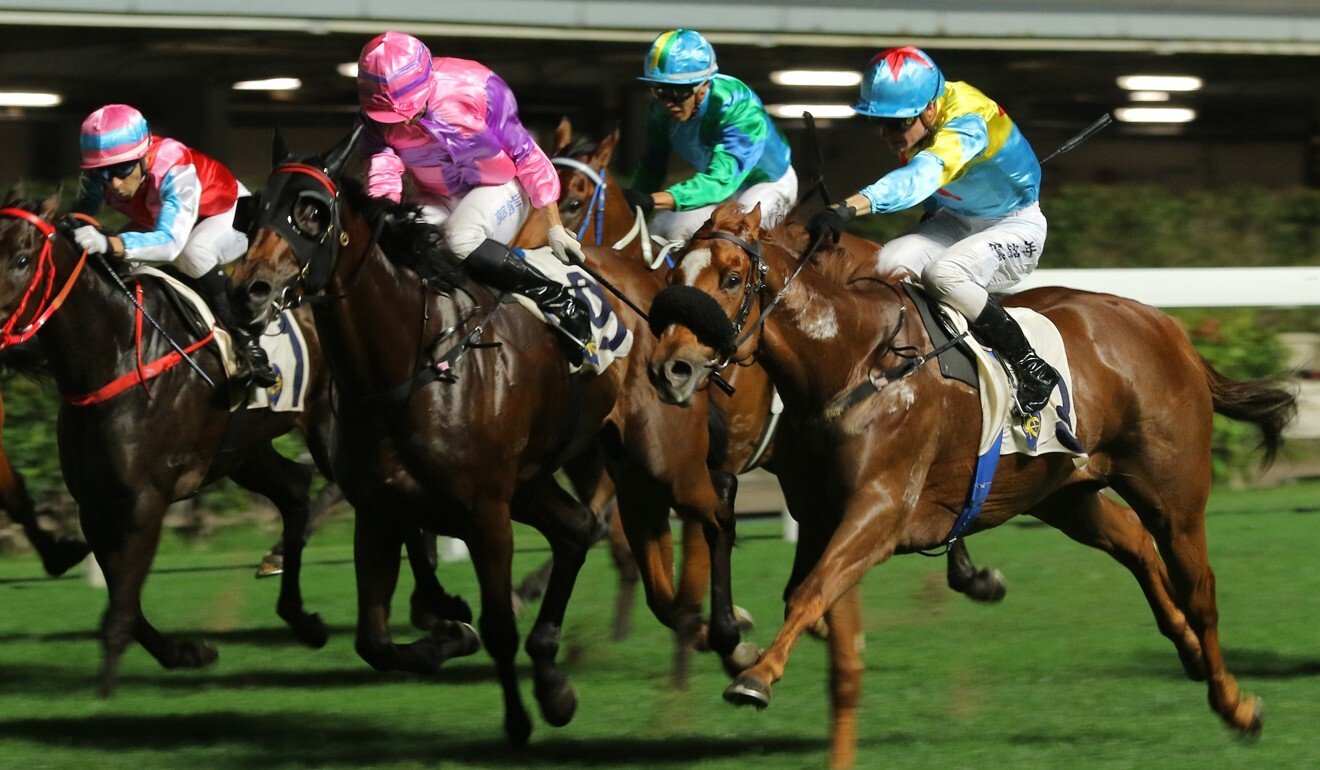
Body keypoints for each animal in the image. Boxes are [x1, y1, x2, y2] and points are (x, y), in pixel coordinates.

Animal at [232, 134, 623, 744]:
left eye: (311, 212)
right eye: (252, 211)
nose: (247, 291)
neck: (405, 367)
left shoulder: (486, 512)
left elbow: (498, 624)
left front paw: (516, 719)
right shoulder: (380, 511)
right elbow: (374, 641)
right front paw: (450, 633)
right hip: (532, 482)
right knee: (578, 529)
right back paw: (553, 680)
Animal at [644, 202, 1293, 766]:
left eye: (732, 278)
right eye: (674, 275)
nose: (669, 368)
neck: (853, 361)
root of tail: (1166, 326)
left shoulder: (880, 509)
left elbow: (810, 593)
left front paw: (754, 676)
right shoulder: (823, 515)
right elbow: (819, 611)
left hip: (1173, 495)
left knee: (1199, 588)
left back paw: (1234, 702)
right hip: (1063, 493)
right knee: (1135, 544)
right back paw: (1190, 654)